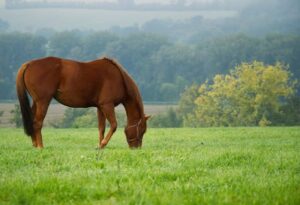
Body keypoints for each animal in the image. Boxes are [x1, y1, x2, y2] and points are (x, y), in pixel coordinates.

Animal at [15, 56, 149, 149]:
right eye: (142, 130)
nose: (136, 148)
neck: (119, 78)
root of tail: (29, 64)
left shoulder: (100, 107)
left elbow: (101, 128)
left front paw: (99, 146)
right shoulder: (107, 105)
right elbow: (114, 125)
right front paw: (103, 144)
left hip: (36, 103)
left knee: (32, 121)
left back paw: (34, 144)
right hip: (43, 102)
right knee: (37, 123)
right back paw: (40, 146)